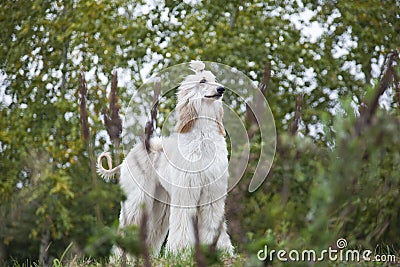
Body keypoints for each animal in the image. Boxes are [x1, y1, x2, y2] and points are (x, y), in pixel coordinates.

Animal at [97, 60, 234, 258]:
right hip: (137, 197)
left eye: (215, 80)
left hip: (161, 202)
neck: (203, 140)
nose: (221, 89)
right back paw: (121, 258)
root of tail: (127, 156)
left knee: (154, 229)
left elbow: (213, 221)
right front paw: (181, 251)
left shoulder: (212, 193)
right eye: (202, 81)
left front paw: (220, 250)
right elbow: (183, 222)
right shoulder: (186, 191)